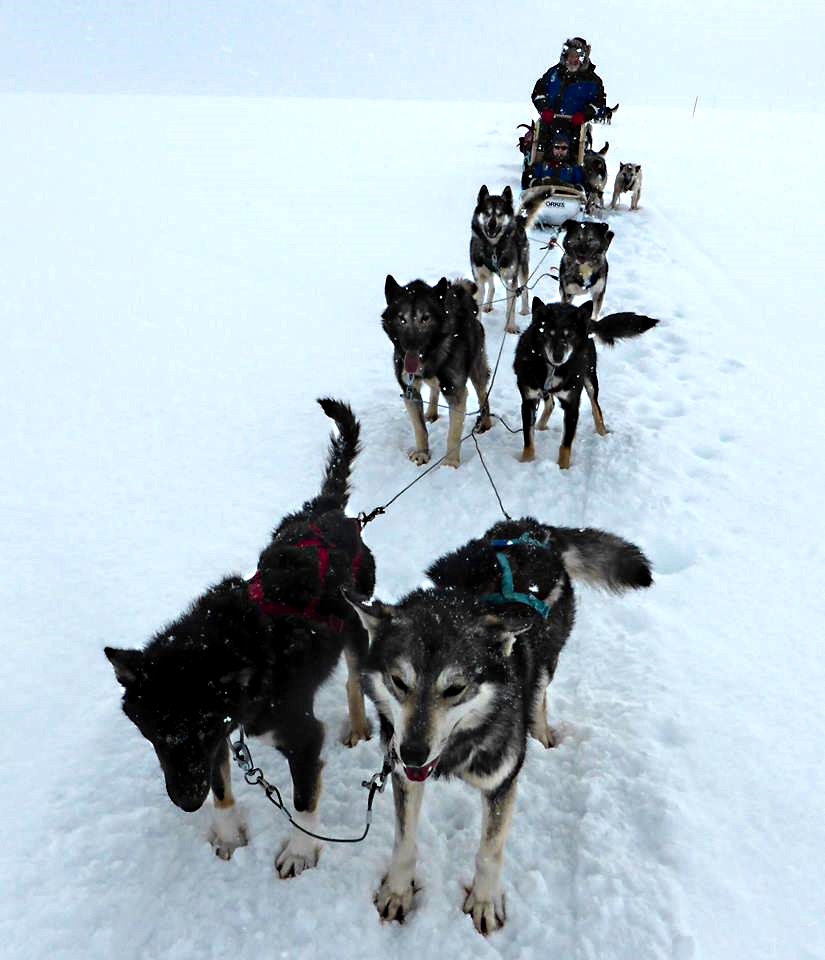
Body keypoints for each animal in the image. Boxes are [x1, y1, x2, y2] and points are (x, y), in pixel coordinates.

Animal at [104, 398, 374, 876]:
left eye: (200, 728)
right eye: (155, 734)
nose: (187, 803)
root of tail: (327, 511)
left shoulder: (301, 737)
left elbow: (303, 802)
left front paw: (300, 851)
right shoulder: (223, 739)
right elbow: (222, 789)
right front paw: (229, 834)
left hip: (358, 625)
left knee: (354, 678)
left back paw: (359, 727)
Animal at [342, 520, 652, 932]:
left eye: (455, 688)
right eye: (399, 681)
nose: (411, 752)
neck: (459, 747)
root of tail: (535, 529)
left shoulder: (502, 781)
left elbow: (489, 852)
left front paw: (485, 902)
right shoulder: (405, 776)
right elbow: (404, 841)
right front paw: (396, 891)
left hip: (548, 660)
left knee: (540, 692)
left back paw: (541, 731)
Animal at [470, 184, 528, 334]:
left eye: (500, 213)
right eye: (487, 213)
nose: (492, 225)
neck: (493, 248)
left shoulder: (511, 279)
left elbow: (511, 306)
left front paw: (511, 326)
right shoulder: (479, 277)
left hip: (522, 268)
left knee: (524, 290)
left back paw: (525, 310)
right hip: (488, 273)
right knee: (491, 286)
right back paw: (488, 304)